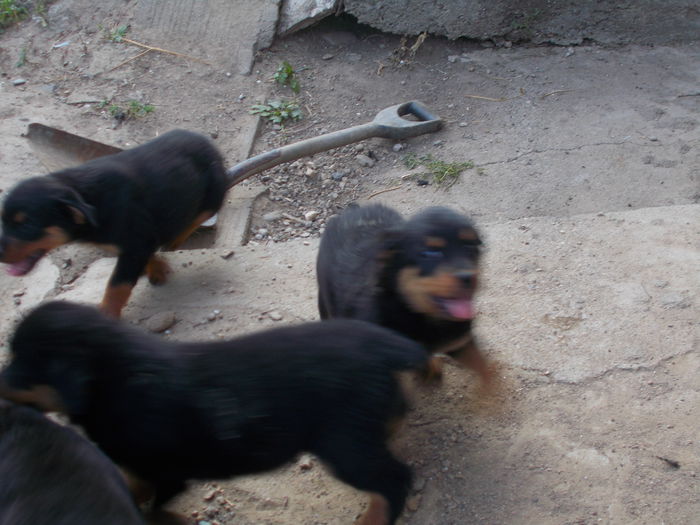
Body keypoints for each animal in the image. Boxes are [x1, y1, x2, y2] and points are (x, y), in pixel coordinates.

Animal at [0, 130, 226, 320]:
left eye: (28, 226)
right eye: (3, 221)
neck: (88, 200)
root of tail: (205, 141)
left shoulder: (136, 241)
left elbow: (117, 285)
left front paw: (107, 315)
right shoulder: (139, 242)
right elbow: (145, 255)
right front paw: (157, 267)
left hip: (212, 196)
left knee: (196, 218)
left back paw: (174, 241)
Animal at [318, 203, 492, 386]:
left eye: (471, 247)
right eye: (429, 254)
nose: (468, 277)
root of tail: (354, 208)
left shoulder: (460, 341)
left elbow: (485, 368)